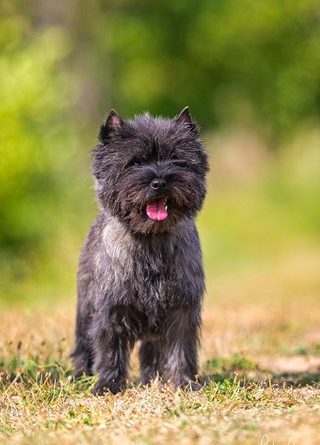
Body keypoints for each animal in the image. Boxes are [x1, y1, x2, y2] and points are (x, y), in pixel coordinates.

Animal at [71, 106, 209, 392]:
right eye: (134, 162)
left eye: (176, 159)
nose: (159, 182)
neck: (151, 242)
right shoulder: (111, 308)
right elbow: (110, 349)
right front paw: (108, 385)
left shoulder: (181, 308)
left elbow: (181, 350)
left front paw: (184, 383)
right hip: (84, 307)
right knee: (82, 344)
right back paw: (79, 375)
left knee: (151, 351)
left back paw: (151, 379)